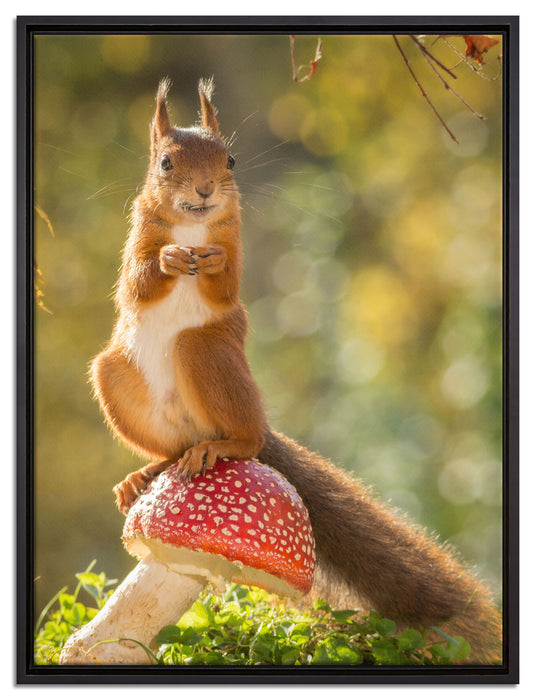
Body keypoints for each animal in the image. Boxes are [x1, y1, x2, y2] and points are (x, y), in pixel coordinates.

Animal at [90, 78, 502, 664]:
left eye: (230, 160)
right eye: (165, 163)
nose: (205, 192)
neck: (193, 227)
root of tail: (212, 433)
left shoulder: (233, 243)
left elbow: (226, 284)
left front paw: (211, 265)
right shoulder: (137, 237)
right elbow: (138, 280)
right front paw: (169, 261)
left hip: (208, 353)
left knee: (243, 432)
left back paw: (227, 445)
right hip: (115, 375)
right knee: (170, 448)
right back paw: (145, 475)